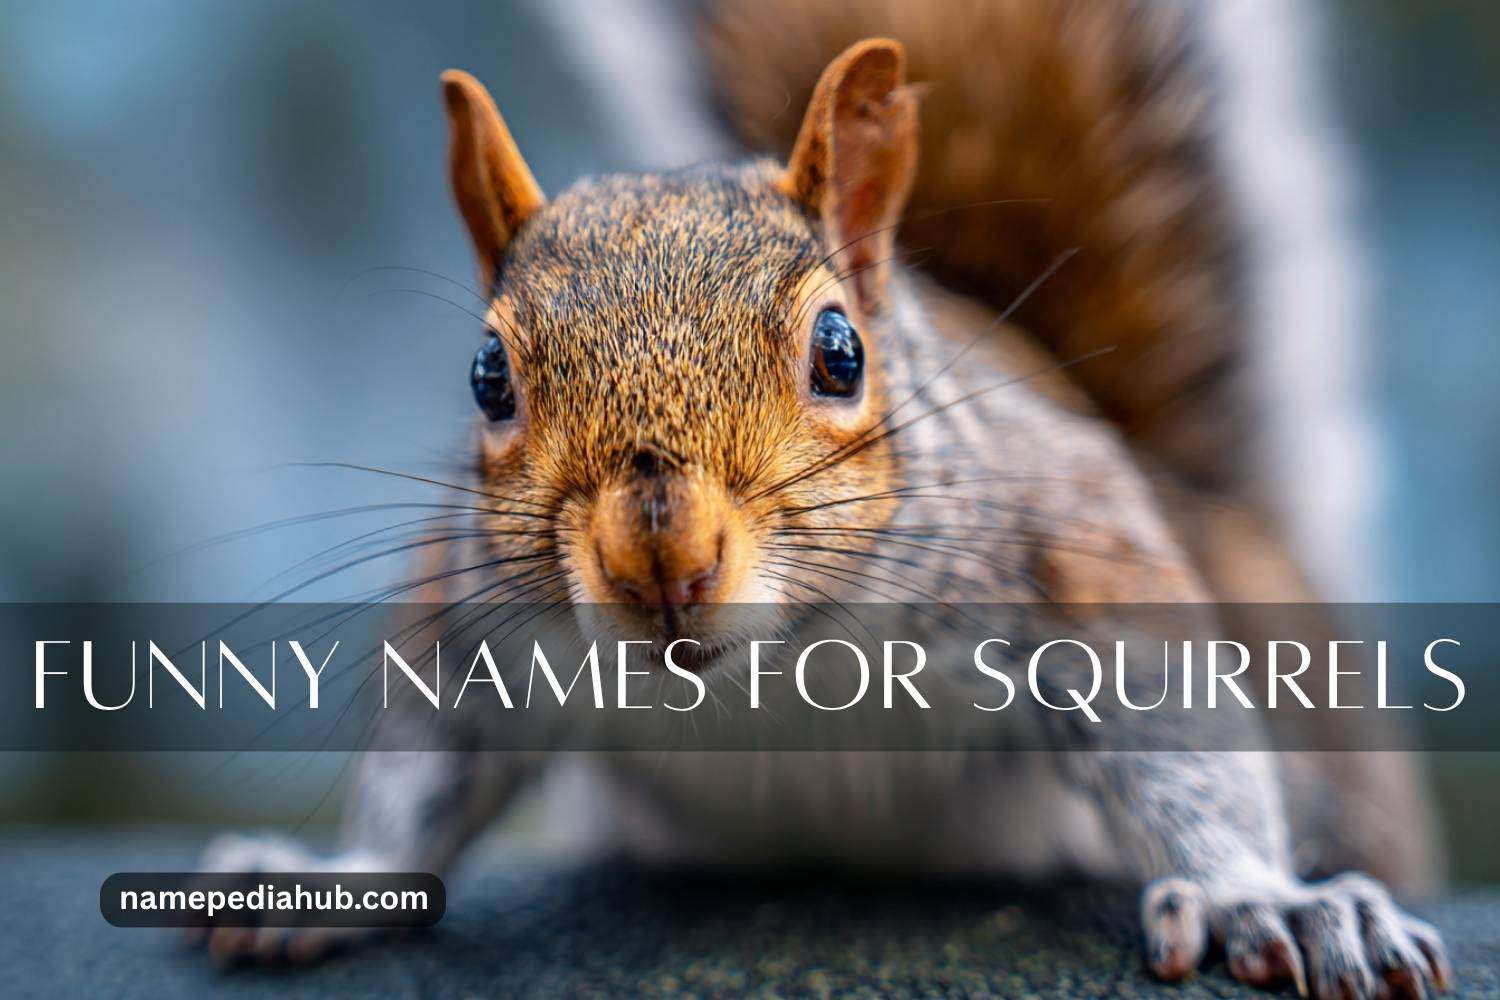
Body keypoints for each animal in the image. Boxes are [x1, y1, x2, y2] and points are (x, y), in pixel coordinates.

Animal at [197, 2, 1451, 996]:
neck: (766, 669)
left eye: (841, 353)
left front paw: (1261, 898)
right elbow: (423, 768)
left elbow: (1180, 729)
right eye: (486, 378)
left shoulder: (1066, 543)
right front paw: (331, 881)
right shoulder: (477, 622)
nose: (662, 559)